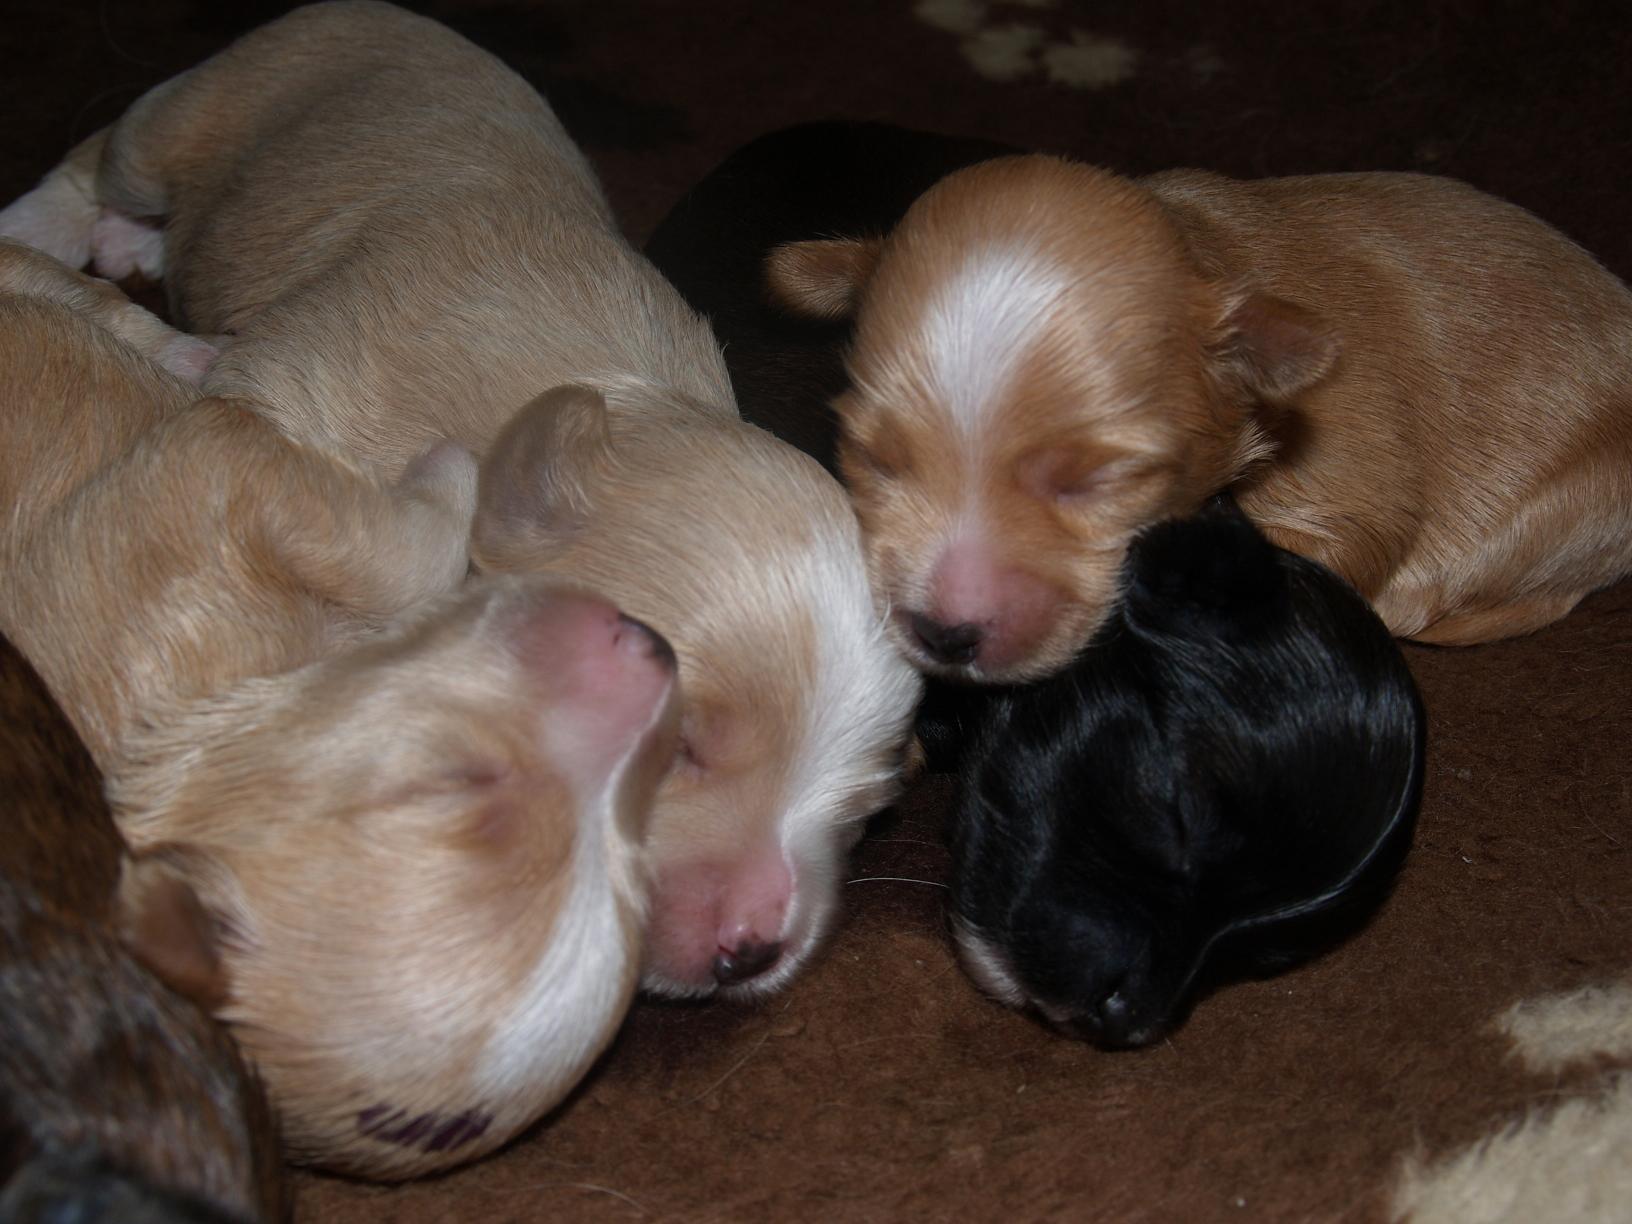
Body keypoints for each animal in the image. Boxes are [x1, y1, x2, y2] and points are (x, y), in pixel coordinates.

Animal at [0, 1, 922, 997]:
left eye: (867, 811)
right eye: (677, 743)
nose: (753, 950)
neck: (599, 397)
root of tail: (388, 12)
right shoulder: (293, 398)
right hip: (200, 108)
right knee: (103, 151)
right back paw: (52, 221)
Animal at [766, 155, 1632, 681]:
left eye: (1102, 480)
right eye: (871, 459)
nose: (944, 636)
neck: (1207, 251)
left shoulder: (1346, 473)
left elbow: (1356, 535)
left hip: (1581, 497)